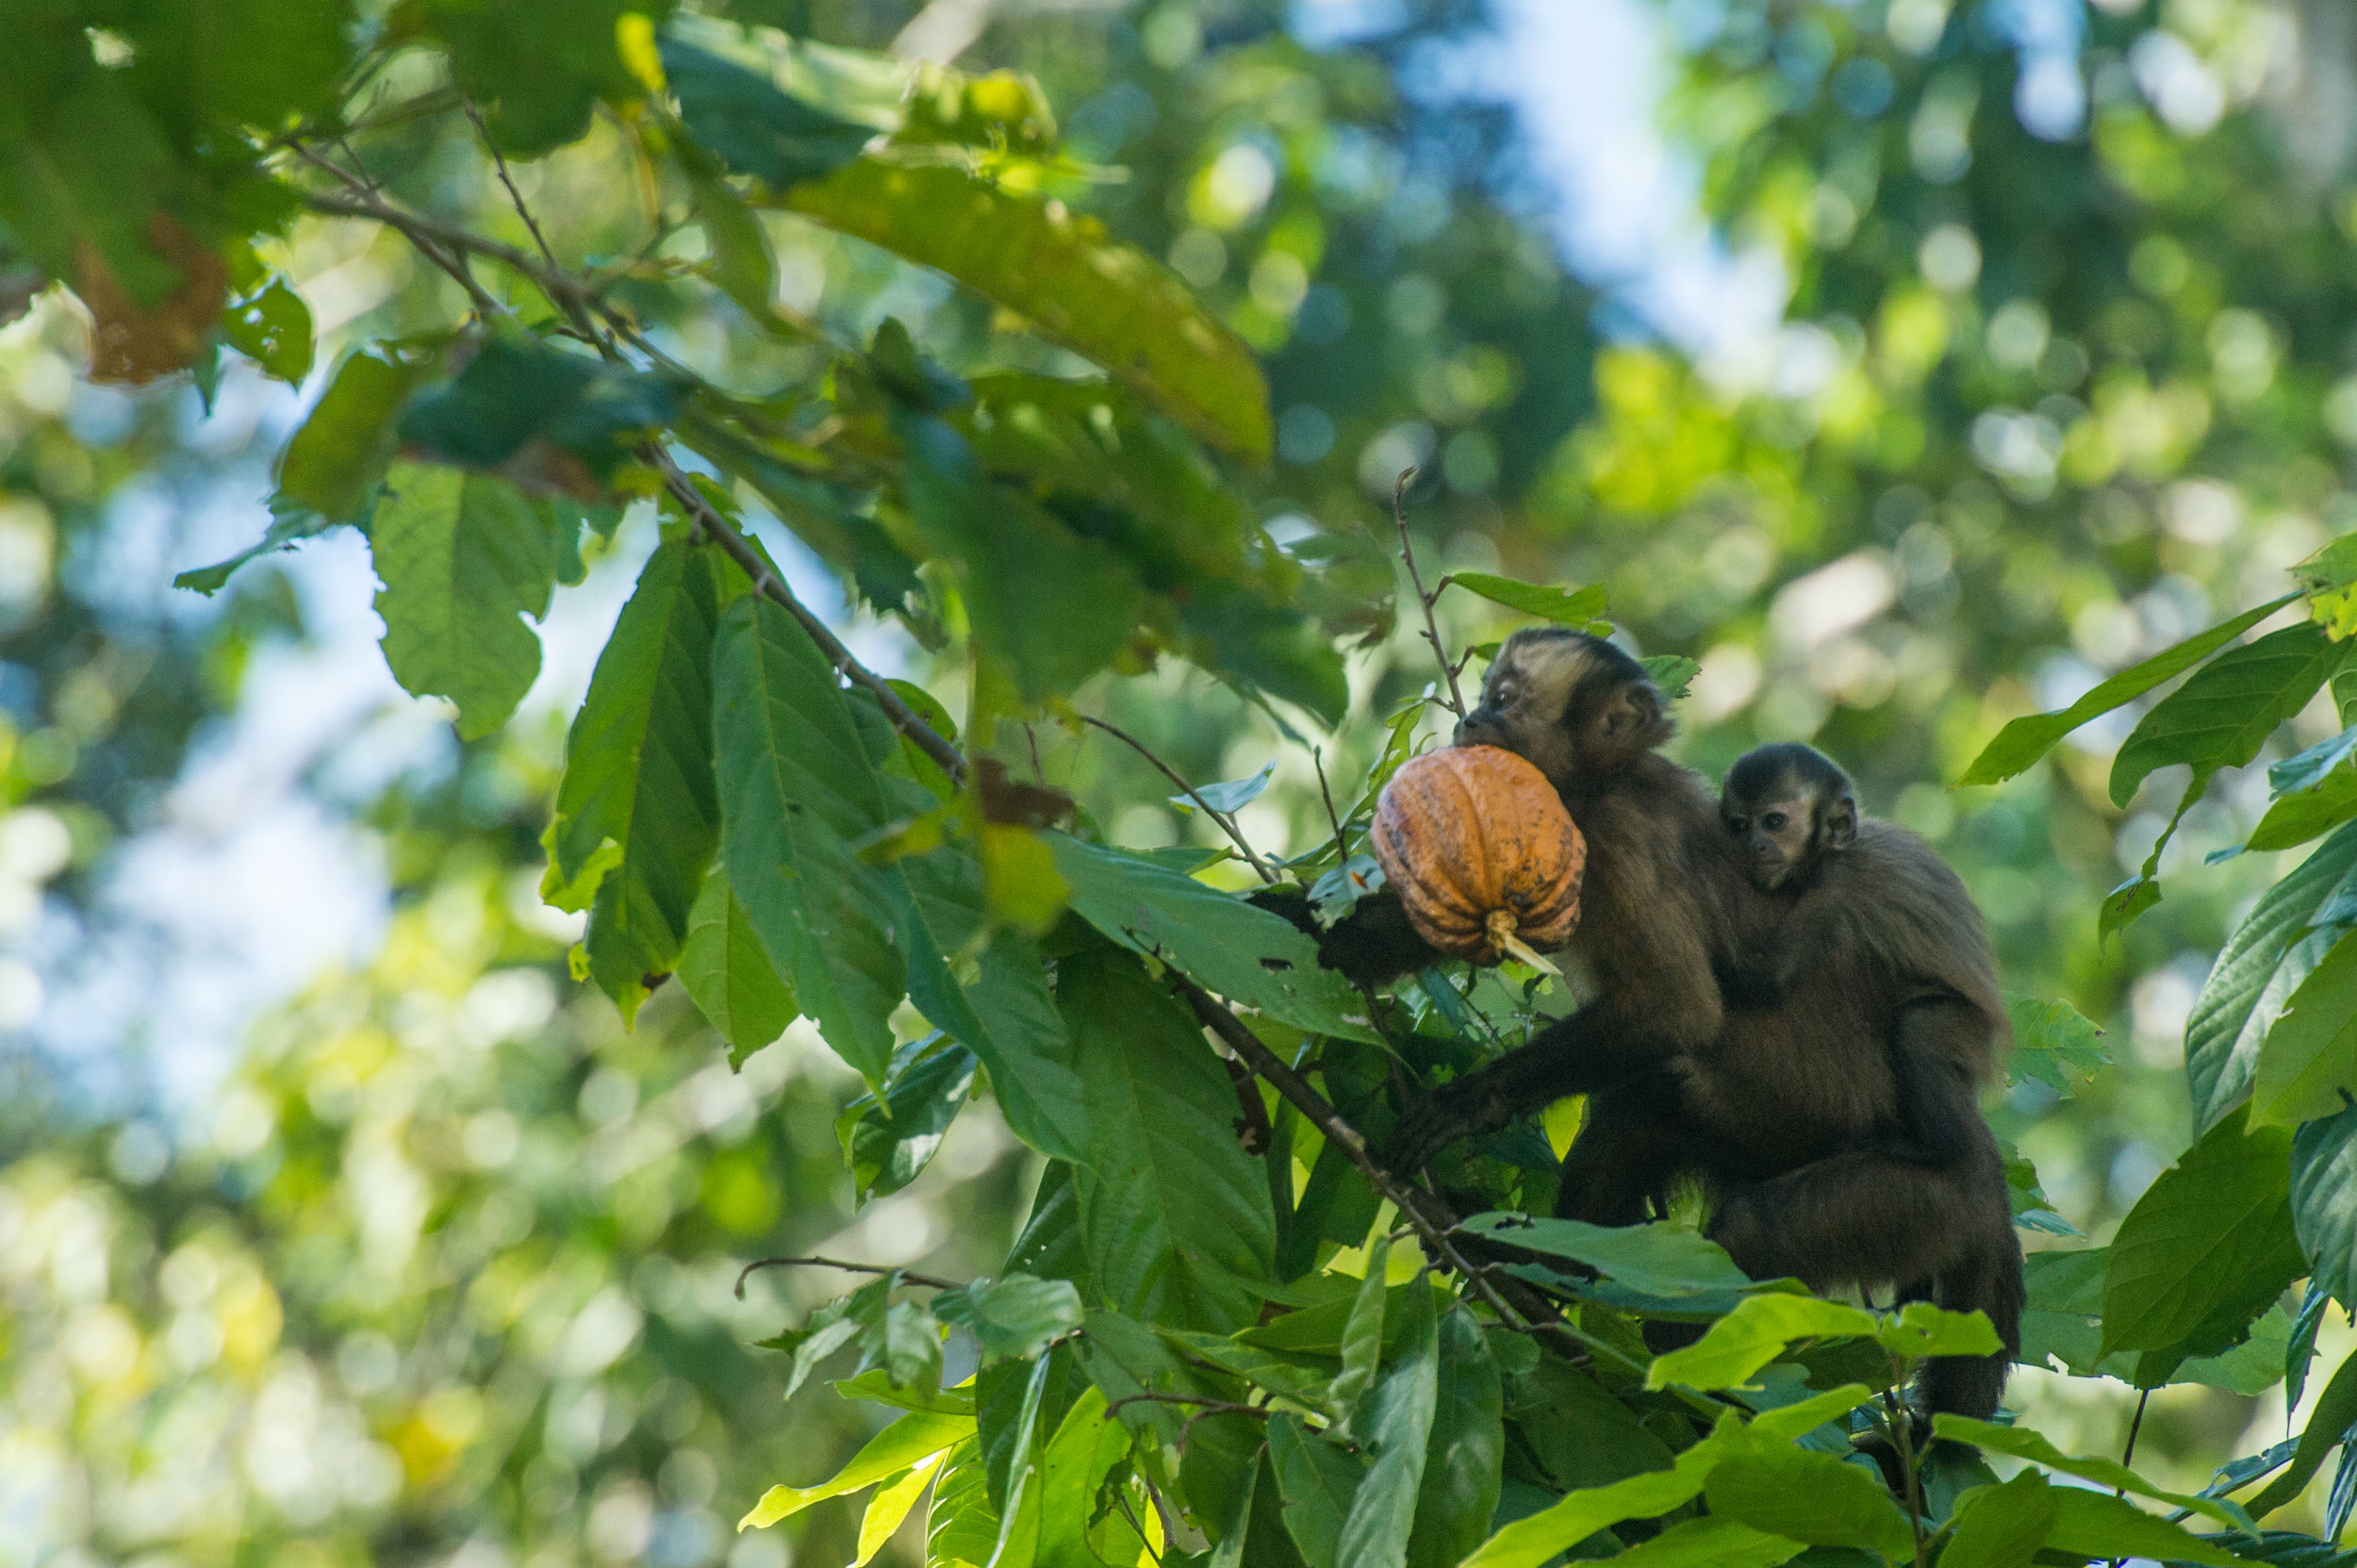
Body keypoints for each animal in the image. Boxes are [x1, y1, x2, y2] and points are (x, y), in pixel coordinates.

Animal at [1292, 632, 2027, 1424]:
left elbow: (1678, 1008)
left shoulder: (1620, 840)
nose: (1468, 721)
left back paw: (1674, 1360)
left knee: (1755, 1224)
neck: (1599, 789)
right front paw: (1293, 926)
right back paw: (1545, 1266)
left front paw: (1469, 1103)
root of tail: (1986, 1180)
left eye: (1505, 699)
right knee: (1641, 1113)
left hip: (1912, 1202)